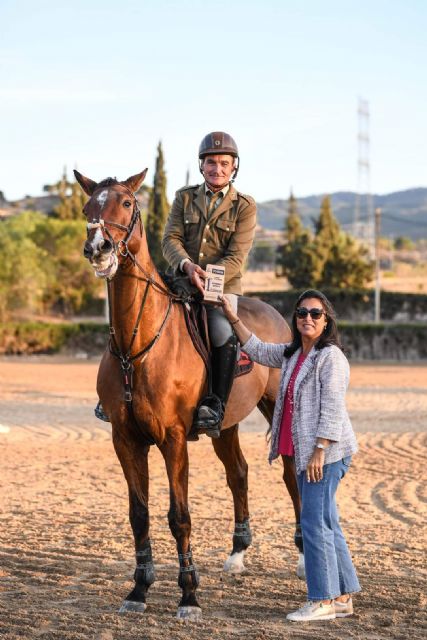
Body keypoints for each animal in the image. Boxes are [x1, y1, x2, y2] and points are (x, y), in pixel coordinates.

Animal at [75, 169, 304, 620]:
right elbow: (139, 515)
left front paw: (188, 596)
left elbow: (179, 516)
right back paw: (237, 554)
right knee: (239, 473)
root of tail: (272, 313)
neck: (136, 345)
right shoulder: (125, 440)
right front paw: (139, 589)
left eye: (127, 203)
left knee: (291, 476)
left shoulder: (174, 439)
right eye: (88, 206)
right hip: (225, 423)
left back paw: (306, 555)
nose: (98, 248)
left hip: (277, 407)